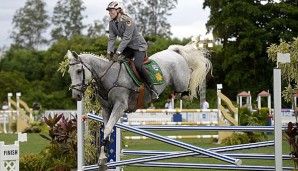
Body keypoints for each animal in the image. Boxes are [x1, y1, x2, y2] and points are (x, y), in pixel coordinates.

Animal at [67, 41, 212, 170]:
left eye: (79, 71)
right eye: (69, 72)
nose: (76, 96)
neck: (108, 77)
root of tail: (173, 51)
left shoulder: (120, 106)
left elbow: (108, 128)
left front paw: (103, 159)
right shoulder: (106, 109)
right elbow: (106, 131)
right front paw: (103, 158)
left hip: (181, 83)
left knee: (186, 88)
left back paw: (192, 89)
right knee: (180, 93)